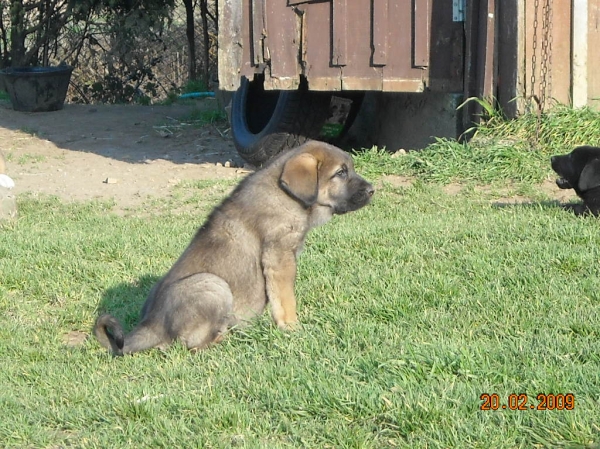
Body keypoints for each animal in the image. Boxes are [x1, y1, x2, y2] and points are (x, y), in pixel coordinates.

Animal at [94, 142, 372, 356]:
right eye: (340, 173)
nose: (372, 190)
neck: (287, 196)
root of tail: (151, 324)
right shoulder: (279, 256)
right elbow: (285, 299)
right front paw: (292, 327)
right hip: (212, 284)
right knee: (189, 345)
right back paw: (226, 338)